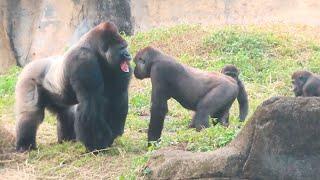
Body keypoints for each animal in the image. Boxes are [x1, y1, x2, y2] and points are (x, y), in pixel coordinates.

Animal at [14, 21, 132, 152]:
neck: (94, 49)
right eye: (121, 48)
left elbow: (118, 96)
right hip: (28, 79)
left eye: (125, 46)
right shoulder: (83, 61)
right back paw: (25, 145)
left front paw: (113, 135)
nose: (128, 55)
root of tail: (28, 65)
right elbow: (91, 102)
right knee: (31, 114)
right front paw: (97, 144)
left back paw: (67, 139)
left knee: (65, 113)